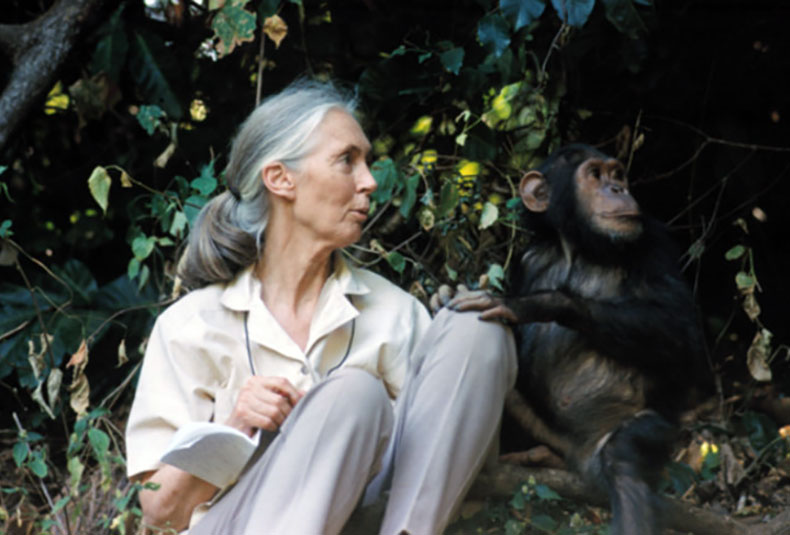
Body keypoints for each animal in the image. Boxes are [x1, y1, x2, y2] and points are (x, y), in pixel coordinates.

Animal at [452, 144, 704, 532]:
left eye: (617, 174)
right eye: (595, 175)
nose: (618, 189)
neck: (579, 247)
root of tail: (577, 456)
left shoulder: (654, 241)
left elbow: (682, 334)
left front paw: (532, 303)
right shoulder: (526, 259)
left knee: (624, 461)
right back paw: (533, 459)